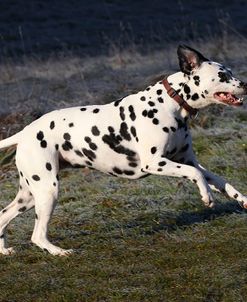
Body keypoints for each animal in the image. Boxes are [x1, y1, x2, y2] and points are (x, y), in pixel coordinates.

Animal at [0, 44, 247, 256]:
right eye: (223, 76)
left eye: (231, 72)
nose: (245, 83)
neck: (170, 103)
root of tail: (24, 132)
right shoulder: (156, 163)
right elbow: (196, 176)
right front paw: (206, 197)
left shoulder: (187, 161)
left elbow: (219, 180)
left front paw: (242, 199)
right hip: (47, 190)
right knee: (37, 235)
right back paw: (59, 252)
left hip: (29, 195)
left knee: (3, 215)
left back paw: (4, 250)